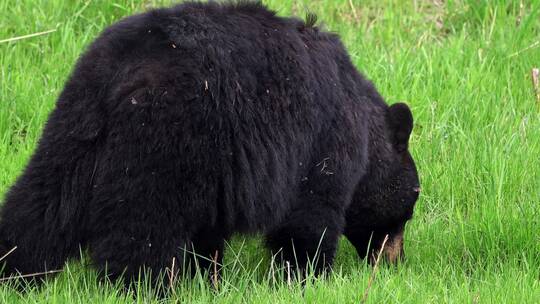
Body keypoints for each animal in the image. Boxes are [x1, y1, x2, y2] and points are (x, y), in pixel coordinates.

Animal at [0, 1, 418, 284]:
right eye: (410, 207)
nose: (394, 261)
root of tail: (122, 72)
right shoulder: (323, 141)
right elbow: (309, 214)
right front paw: (308, 276)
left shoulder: (224, 167)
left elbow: (209, 231)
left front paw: (208, 276)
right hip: (165, 136)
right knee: (142, 227)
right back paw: (140, 286)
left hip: (75, 123)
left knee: (42, 202)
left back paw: (16, 271)